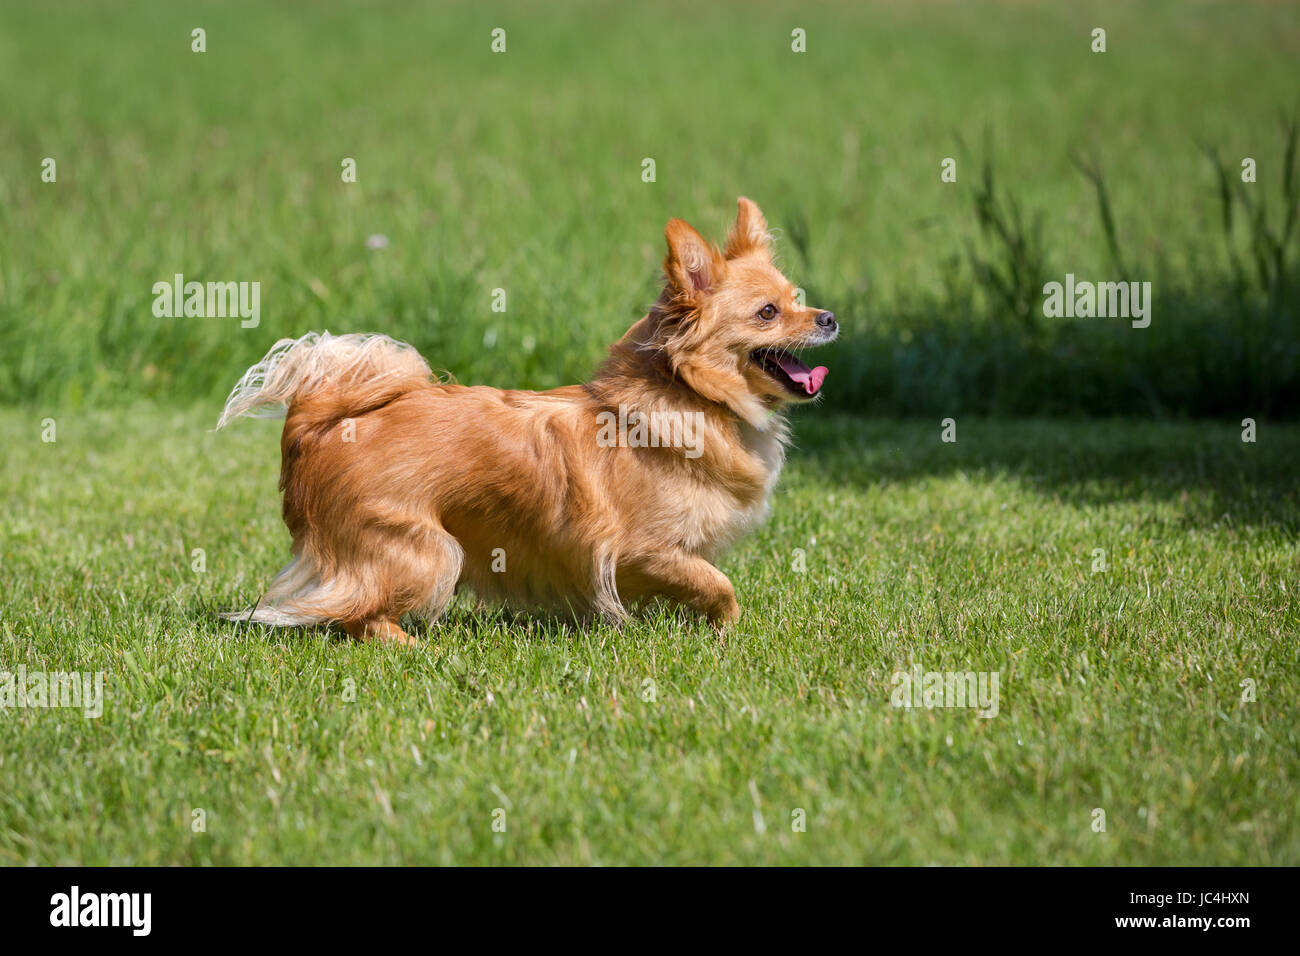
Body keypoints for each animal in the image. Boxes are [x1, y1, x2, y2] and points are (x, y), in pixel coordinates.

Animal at [218, 195, 837, 647]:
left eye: (798, 299)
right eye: (768, 313)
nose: (829, 317)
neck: (692, 395)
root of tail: (317, 423)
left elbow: (703, 583)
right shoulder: (643, 550)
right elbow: (719, 583)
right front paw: (729, 629)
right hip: (424, 552)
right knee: (358, 616)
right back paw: (413, 647)